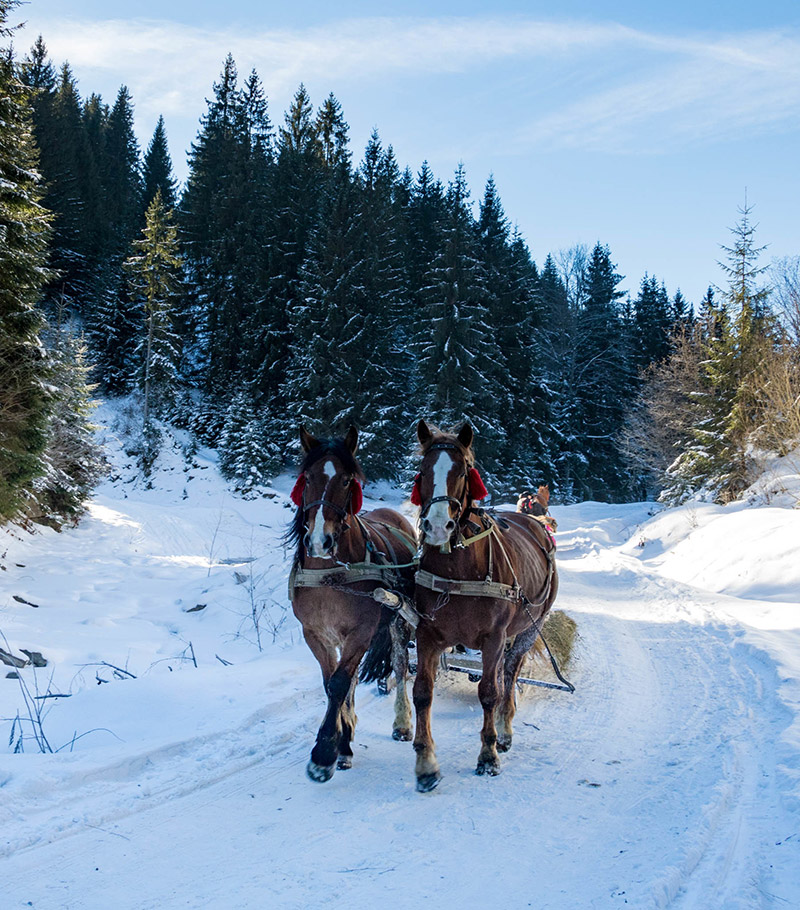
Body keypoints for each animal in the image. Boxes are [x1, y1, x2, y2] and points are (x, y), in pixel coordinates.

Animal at [288, 428, 416, 784]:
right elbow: (333, 683)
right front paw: (342, 744)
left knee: (400, 666)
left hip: (400, 621)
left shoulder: (360, 633)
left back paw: (402, 723)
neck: (330, 574)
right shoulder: (316, 634)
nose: (320, 541)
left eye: (347, 481)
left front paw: (324, 754)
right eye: (307, 477)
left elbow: (338, 684)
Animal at [412, 420, 556, 792]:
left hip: (529, 628)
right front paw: (425, 763)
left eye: (462, 472)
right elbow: (422, 693)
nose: (437, 526)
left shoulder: (494, 637)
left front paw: (488, 755)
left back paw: (504, 731)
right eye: (423, 471)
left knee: (510, 671)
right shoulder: (427, 634)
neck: (460, 568)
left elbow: (490, 691)